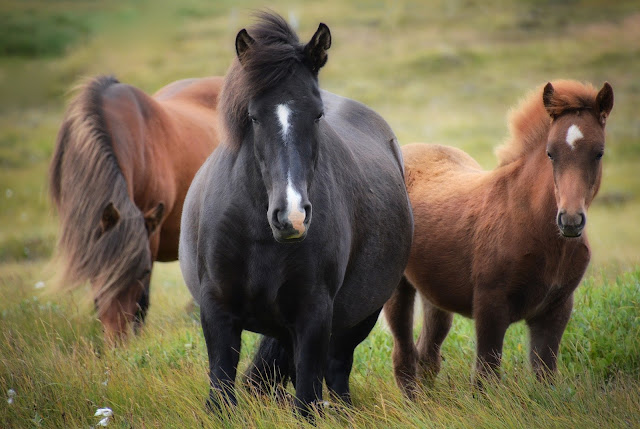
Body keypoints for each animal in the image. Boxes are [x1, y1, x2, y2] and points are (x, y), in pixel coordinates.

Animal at [178, 12, 412, 414]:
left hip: (359, 317)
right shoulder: (217, 310)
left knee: (336, 371)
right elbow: (221, 393)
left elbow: (307, 398)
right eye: (254, 117)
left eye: (317, 115)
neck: (258, 234)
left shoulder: (314, 315)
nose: (292, 217)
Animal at [384, 80, 616, 394]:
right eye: (550, 153)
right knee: (404, 356)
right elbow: (485, 376)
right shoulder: (490, 306)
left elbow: (545, 376)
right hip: (398, 288)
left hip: (435, 293)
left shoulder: (556, 309)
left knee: (427, 353)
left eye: (599, 152)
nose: (570, 220)